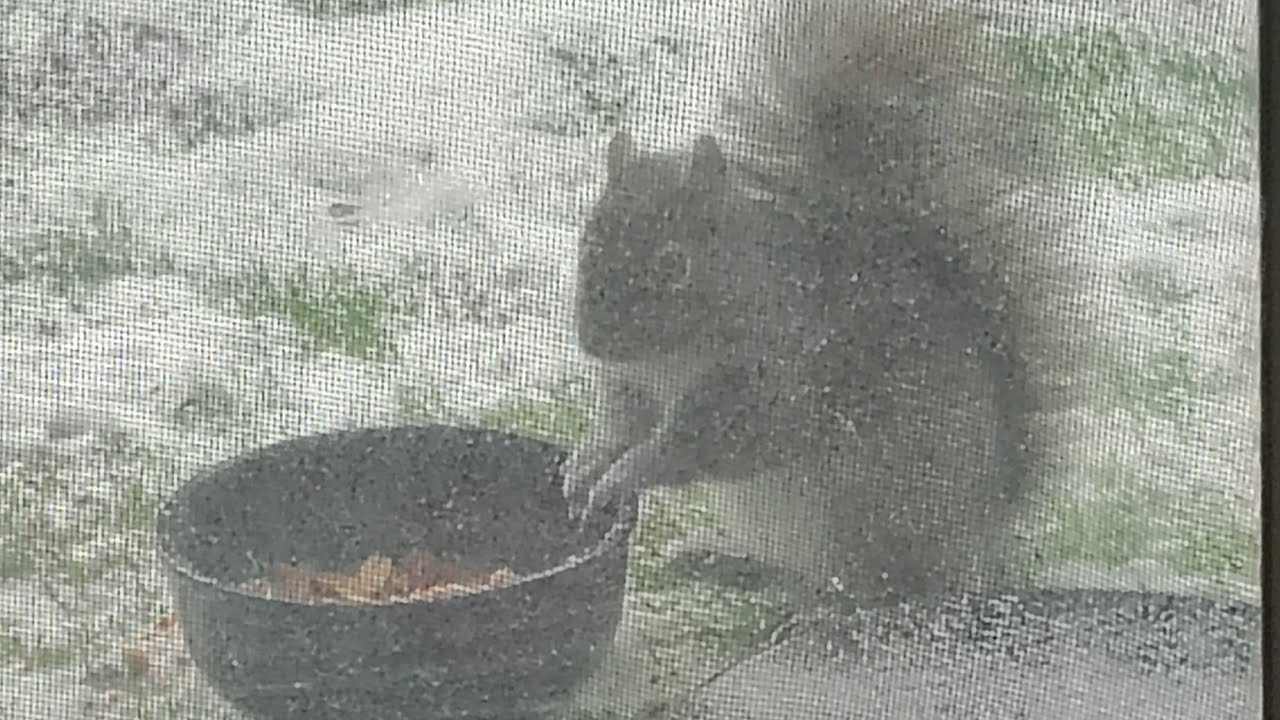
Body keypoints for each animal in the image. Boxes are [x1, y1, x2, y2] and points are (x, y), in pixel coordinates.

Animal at [562, 0, 1056, 604]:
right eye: (588, 240)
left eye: (673, 264)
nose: (595, 344)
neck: (670, 355)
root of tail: (987, 533)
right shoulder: (632, 383)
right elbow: (625, 422)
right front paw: (590, 459)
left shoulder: (774, 376)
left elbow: (707, 441)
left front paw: (626, 472)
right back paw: (725, 561)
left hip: (874, 502)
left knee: (878, 583)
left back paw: (826, 602)